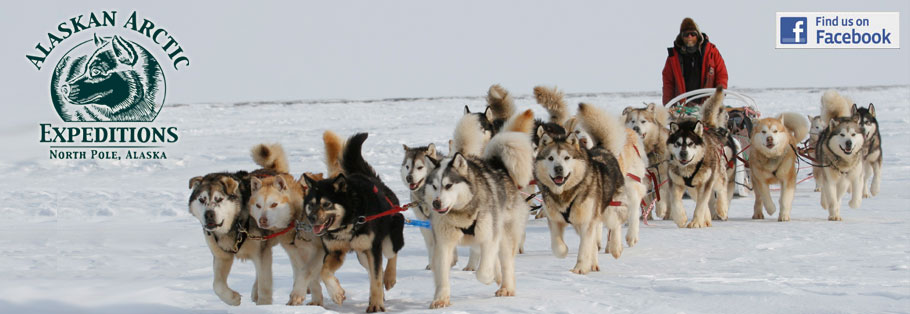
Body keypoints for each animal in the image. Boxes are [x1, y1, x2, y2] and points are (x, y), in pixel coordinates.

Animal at [304, 132, 404, 312]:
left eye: (326, 204)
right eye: (311, 204)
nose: (312, 219)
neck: (349, 222)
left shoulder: (373, 249)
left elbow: (377, 278)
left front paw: (376, 305)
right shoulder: (335, 252)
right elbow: (324, 272)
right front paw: (337, 293)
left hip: (387, 241)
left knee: (391, 256)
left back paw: (389, 278)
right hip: (362, 255)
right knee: (372, 272)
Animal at [424, 111, 536, 310]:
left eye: (449, 185)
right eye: (434, 186)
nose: (436, 203)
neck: (462, 214)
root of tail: (498, 165)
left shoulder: (489, 237)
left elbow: (483, 272)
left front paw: (489, 276)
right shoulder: (444, 243)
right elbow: (442, 274)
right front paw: (441, 299)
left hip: (504, 233)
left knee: (505, 262)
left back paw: (506, 286)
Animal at [668, 86, 740, 228]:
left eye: (691, 143)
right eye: (677, 143)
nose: (683, 153)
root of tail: (709, 127)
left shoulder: (706, 183)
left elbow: (701, 205)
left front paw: (696, 222)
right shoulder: (676, 182)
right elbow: (675, 201)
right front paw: (681, 218)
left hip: (718, 175)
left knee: (721, 189)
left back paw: (722, 209)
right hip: (693, 187)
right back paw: (707, 218)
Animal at [820, 89, 868, 220]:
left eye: (853, 134)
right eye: (841, 134)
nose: (848, 142)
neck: (845, 161)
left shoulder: (855, 175)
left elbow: (856, 195)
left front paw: (852, 203)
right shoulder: (829, 179)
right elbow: (832, 199)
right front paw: (833, 214)